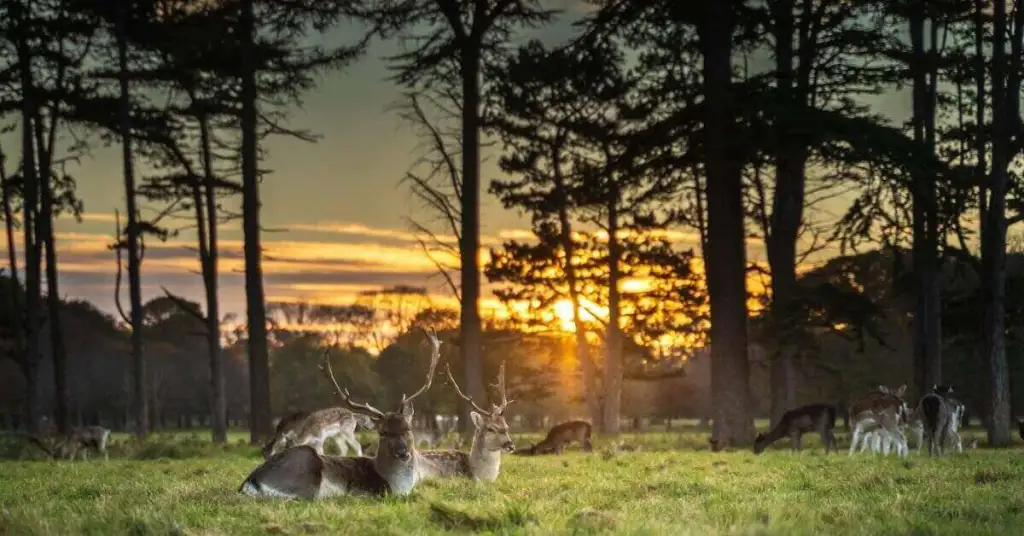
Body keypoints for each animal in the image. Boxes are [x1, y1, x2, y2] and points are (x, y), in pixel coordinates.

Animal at [243, 330, 448, 502]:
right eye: (383, 432)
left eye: (408, 428)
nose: (402, 452)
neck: (397, 486)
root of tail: (250, 481)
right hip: (307, 468)